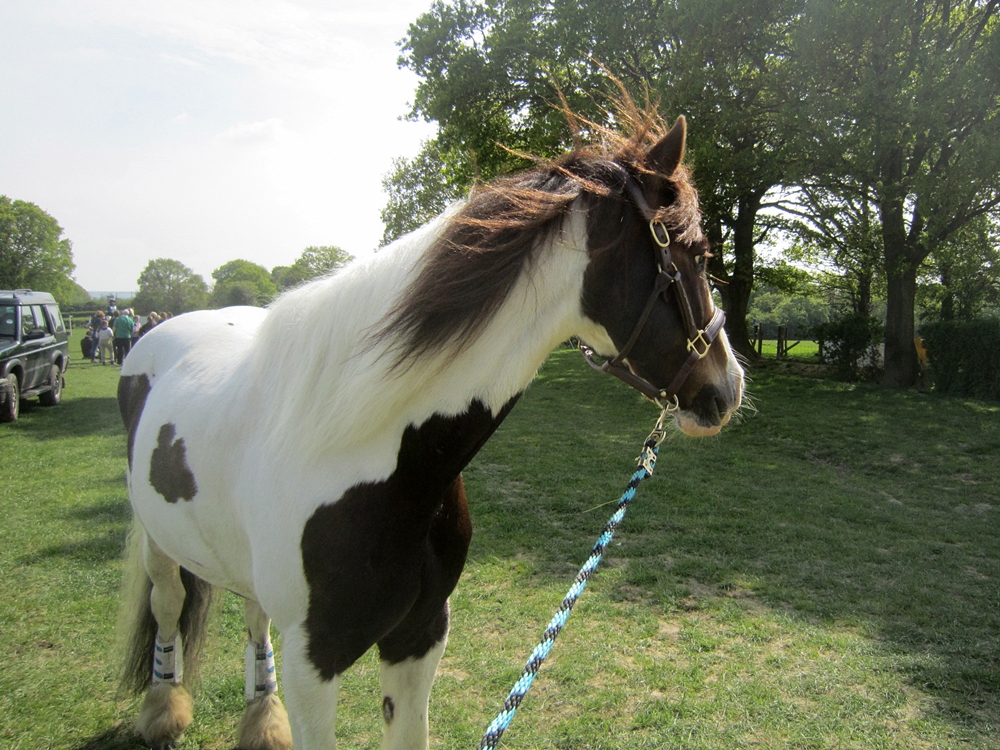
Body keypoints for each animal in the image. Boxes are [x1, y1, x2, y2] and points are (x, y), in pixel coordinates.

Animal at [116, 110, 744, 750]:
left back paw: (263, 718)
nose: (727, 387)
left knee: (252, 614)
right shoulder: (312, 662)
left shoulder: (420, 635)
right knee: (168, 603)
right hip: (158, 543)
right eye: (695, 253)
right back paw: (164, 706)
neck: (369, 457)